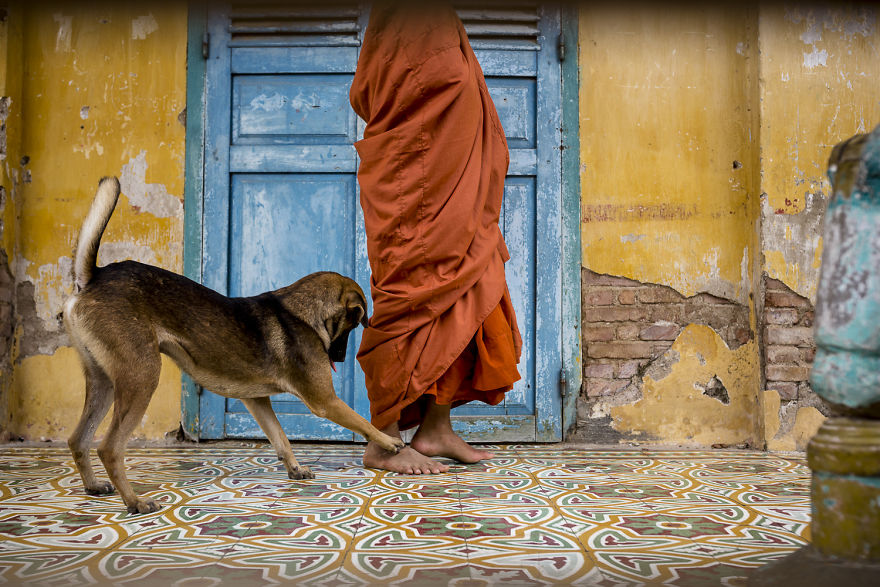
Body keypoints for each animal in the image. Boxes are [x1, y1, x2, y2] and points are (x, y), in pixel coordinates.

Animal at [62, 177, 406, 512]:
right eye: (353, 325)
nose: (340, 358)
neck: (303, 312)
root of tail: (93, 278)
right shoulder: (326, 401)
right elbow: (362, 421)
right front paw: (390, 442)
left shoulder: (257, 401)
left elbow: (280, 437)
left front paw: (295, 468)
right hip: (142, 377)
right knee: (109, 448)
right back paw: (134, 501)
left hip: (104, 381)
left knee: (78, 439)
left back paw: (94, 486)